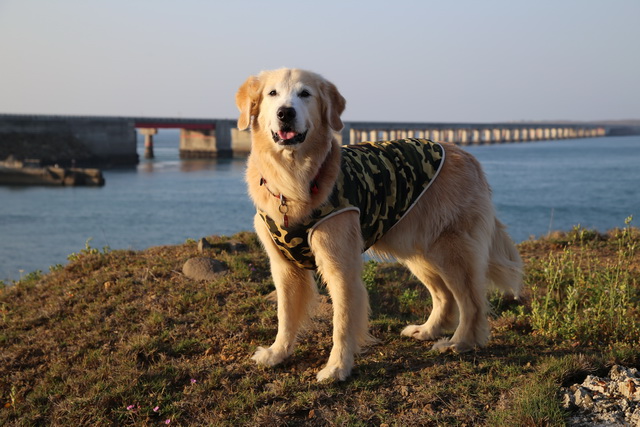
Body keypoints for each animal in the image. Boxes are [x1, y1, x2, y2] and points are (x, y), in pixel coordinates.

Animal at [234, 68, 520, 382]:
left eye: (305, 94)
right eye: (272, 93)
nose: (285, 113)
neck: (293, 179)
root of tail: (466, 155)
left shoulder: (340, 265)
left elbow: (342, 321)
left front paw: (337, 367)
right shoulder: (283, 266)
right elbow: (285, 315)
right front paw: (278, 353)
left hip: (450, 250)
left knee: (471, 302)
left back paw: (460, 342)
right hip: (417, 249)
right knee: (444, 296)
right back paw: (428, 330)